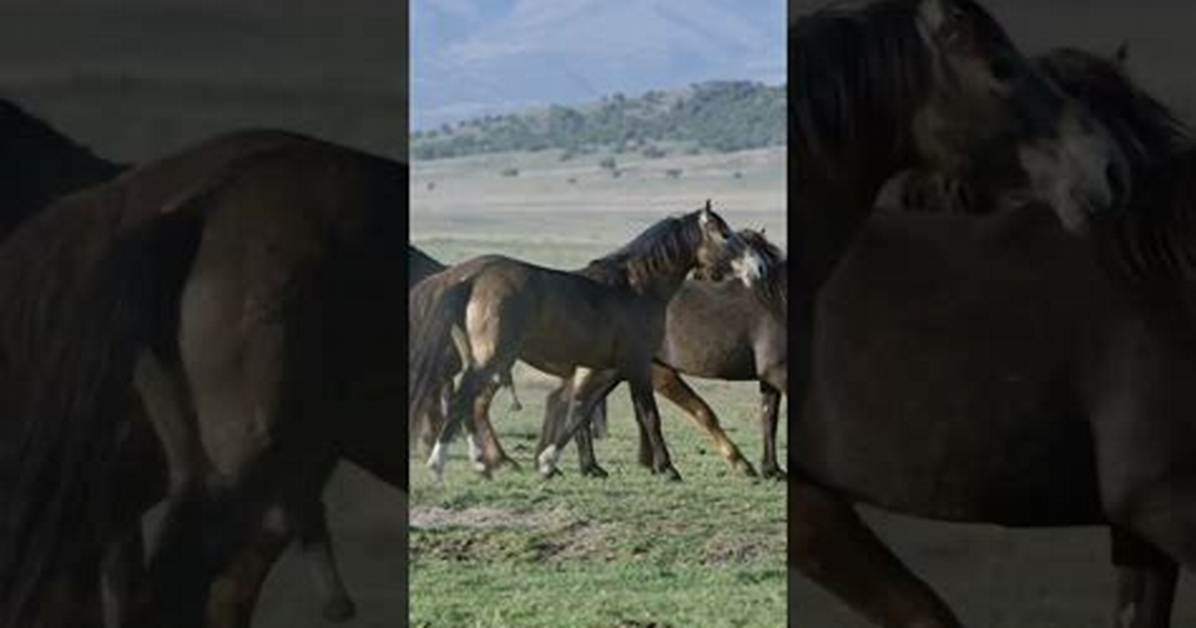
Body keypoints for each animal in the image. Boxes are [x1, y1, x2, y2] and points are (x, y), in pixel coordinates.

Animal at [409, 203, 767, 482]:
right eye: (725, 234)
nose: (759, 268)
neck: (634, 289)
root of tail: (469, 276)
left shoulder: (605, 368)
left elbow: (579, 411)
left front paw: (550, 462)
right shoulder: (637, 365)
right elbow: (648, 414)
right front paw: (667, 469)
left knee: (470, 404)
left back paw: (484, 464)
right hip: (491, 358)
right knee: (463, 400)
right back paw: (443, 463)